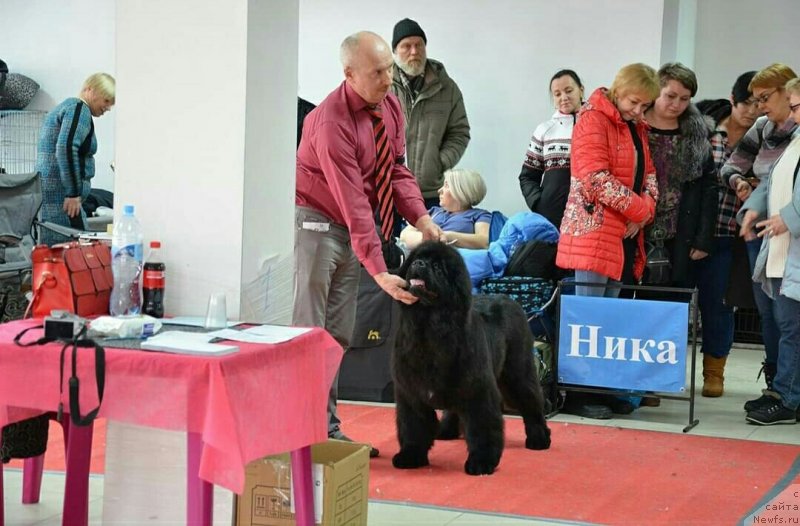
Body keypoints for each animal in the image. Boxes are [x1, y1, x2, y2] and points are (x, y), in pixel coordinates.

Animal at [392, 243, 552, 478]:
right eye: (417, 258)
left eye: (438, 267)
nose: (418, 264)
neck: (428, 326)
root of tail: (509, 299)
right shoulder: (411, 393)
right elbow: (413, 426)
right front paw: (410, 455)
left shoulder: (477, 389)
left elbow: (482, 426)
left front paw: (482, 462)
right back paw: (446, 431)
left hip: (517, 373)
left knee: (532, 401)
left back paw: (539, 438)